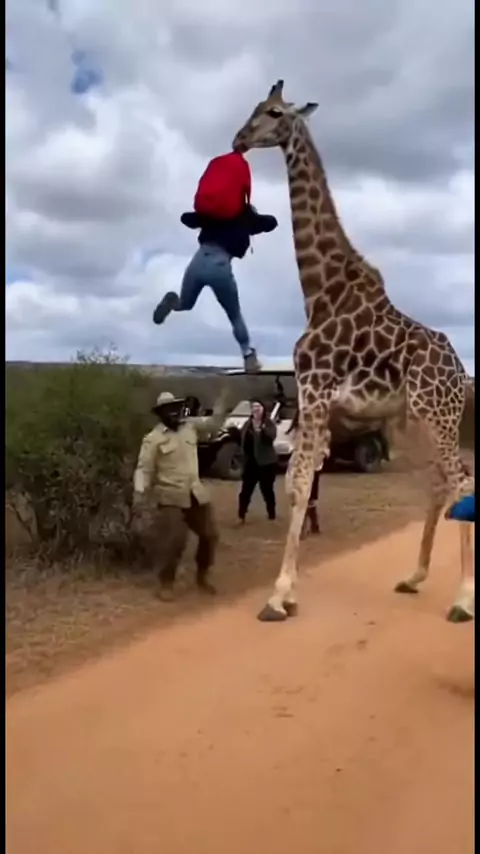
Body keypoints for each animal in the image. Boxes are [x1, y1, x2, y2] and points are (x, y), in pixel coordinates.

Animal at [232, 80, 474, 625]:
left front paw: (277, 596)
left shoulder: (315, 389)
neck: (319, 290)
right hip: (418, 419)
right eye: (254, 108)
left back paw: (464, 599)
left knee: (463, 482)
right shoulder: (313, 401)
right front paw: (287, 593)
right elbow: (298, 481)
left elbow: (300, 481)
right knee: (440, 485)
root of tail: (459, 372)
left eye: (273, 113)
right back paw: (414, 576)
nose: (238, 140)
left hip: (438, 414)